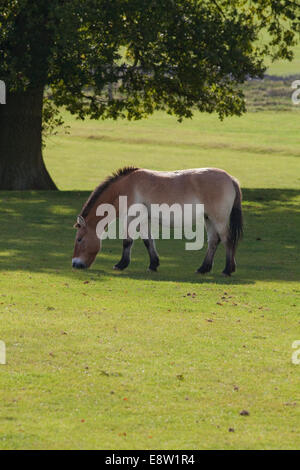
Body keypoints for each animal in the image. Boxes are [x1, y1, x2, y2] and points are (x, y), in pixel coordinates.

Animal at [72, 167, 244, 276]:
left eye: (79, 239)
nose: (75, 264)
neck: (125, 188)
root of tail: (230, 179)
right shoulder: (143, 220)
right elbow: (148, 241)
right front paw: (153, 265)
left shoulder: (131, 218)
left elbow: (127, 241)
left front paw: (121, 264)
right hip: (209, 219)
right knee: (213, 241)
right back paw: (203, 269)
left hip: (219, 219)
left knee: (227, 240)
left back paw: (227, 270)